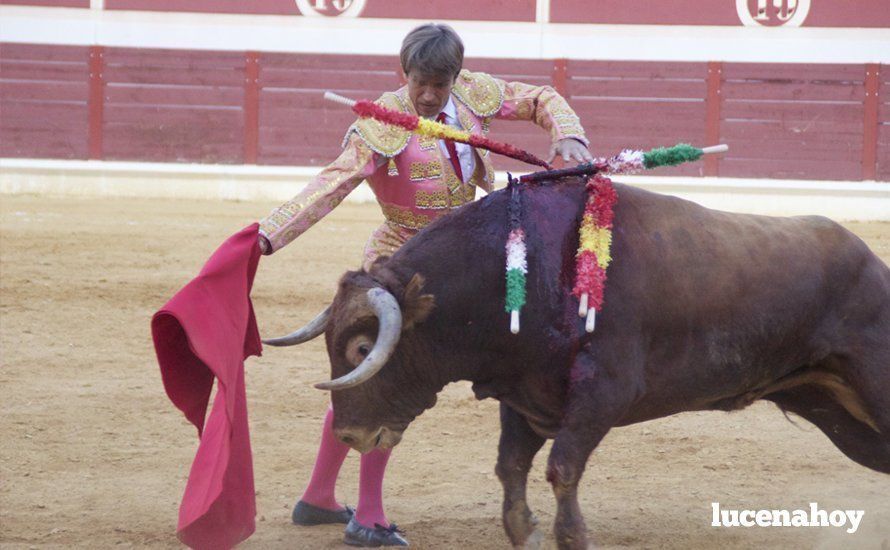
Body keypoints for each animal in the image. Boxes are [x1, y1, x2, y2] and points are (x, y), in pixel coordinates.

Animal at [268, 179, 884, 548]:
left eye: (360, 350)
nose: (350, 434)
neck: (528, 266)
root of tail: (875, 266)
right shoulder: (524, 399)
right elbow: (511, 473)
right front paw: (526, 528)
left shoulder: (601, 397)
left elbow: (561, 470)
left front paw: (571, 533)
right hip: (839, 413)